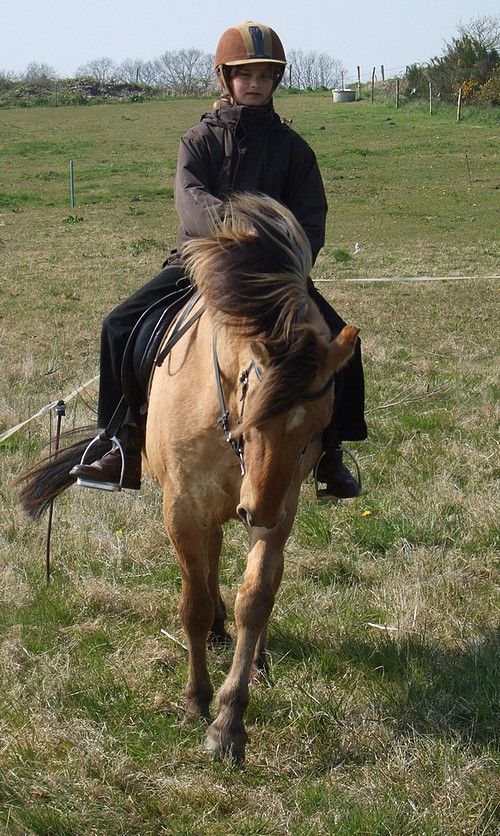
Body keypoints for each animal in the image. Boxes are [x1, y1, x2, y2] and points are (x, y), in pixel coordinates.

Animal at [19, 193, 359, 762]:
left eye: (318, 427)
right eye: (249, 399)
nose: (257, 509)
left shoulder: (282, 504)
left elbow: (256, 598)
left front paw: (229, 721)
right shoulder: (182, 507)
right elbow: (194, 604)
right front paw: (197, 700)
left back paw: (255, 654)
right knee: (210, 560)